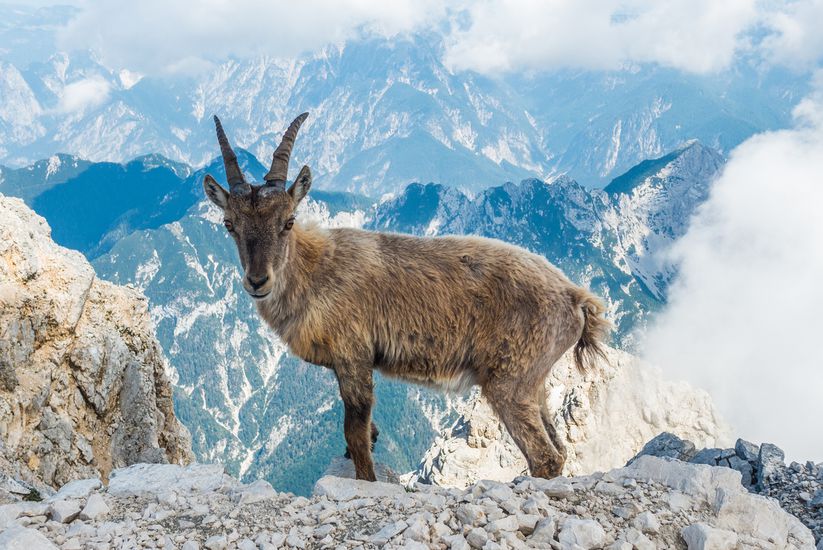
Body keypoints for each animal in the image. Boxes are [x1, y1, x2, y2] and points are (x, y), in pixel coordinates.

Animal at [203, 113, 610, 481]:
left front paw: (366, 481)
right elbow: (363, 434)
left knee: (545, 456)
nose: (257, 281)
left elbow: (356, 432)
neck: (315, 271)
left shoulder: (353, 355)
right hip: (535, 383)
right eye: (229, 224)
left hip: (509, 381)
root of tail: (574, 298)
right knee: (558, 447)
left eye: (287, 221)